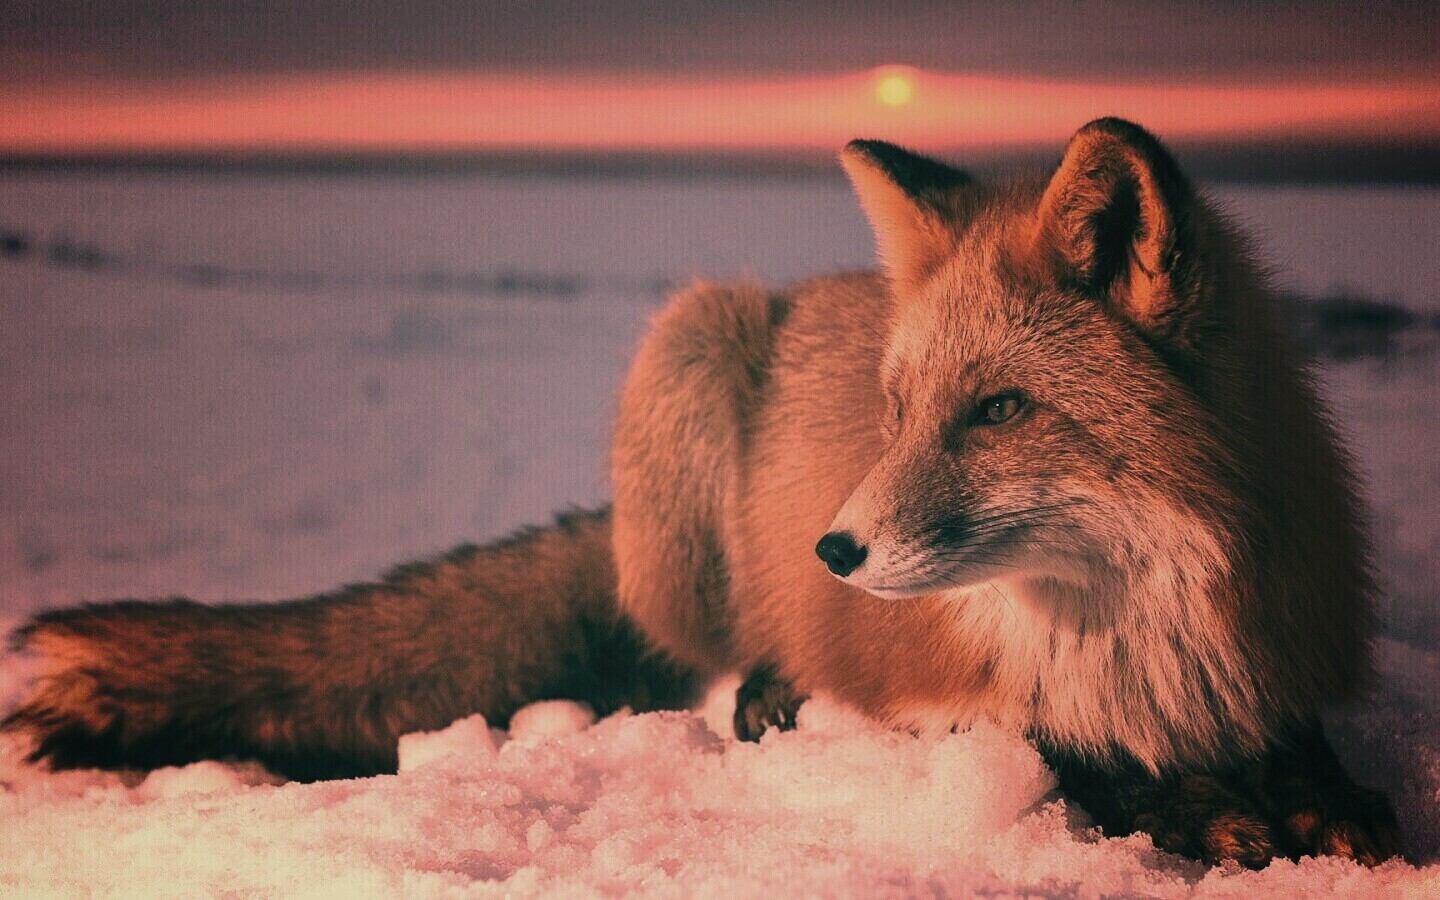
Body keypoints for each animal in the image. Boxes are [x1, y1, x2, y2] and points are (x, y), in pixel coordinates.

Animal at [3, 119, 1401, 868]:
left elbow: (1307, 755)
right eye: (897, 412)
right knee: (707, 658)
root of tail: (814, 287)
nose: (834, 551)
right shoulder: (927, 688)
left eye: (999, 410)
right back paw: (763, 689)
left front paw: (1318, 804)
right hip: (689, 346)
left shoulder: (1273, 652)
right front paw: (1196, 812)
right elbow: (1059, 755)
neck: (1134, 635)